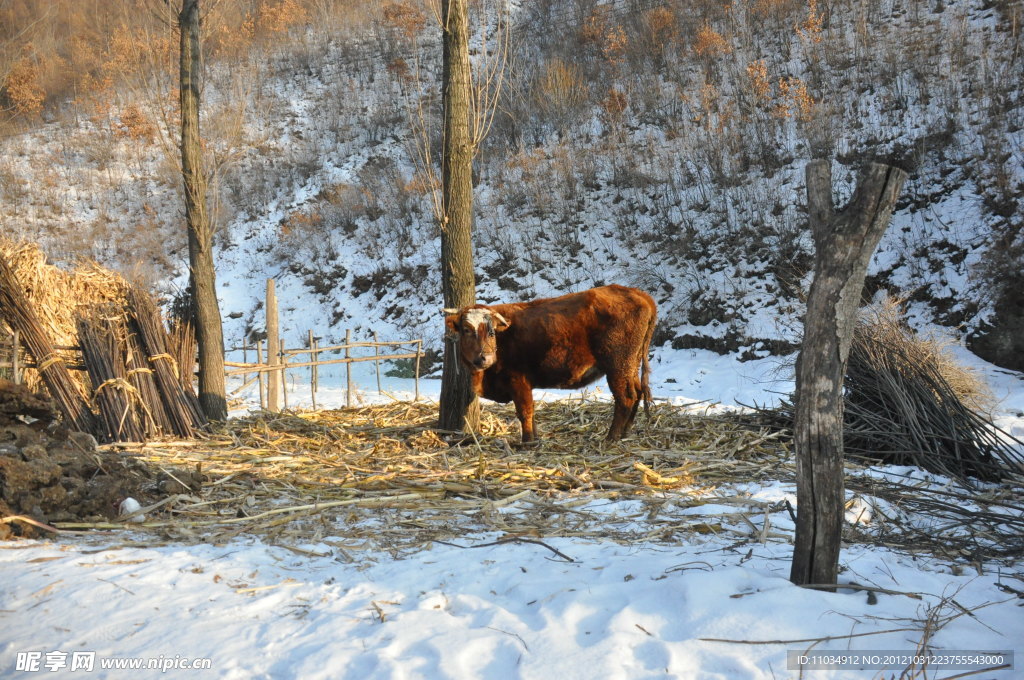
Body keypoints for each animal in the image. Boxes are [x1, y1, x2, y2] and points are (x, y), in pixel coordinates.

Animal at [442, 284, 655, 444]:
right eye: (467, 329)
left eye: (491, 331)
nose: (485, 358)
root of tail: (638, 293)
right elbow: (531, 411)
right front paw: (535, 438)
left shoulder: (517, 380)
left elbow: (524, 411)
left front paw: (527, 442)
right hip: (630, 366)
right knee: (637, 393)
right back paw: (625, 432)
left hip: (617, 367)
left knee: (626, 398)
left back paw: (612, 437)